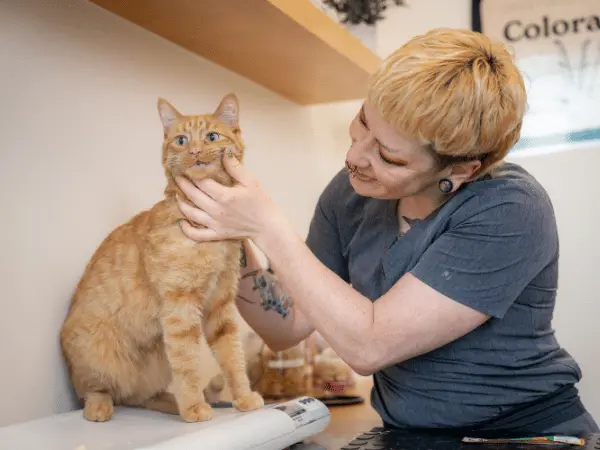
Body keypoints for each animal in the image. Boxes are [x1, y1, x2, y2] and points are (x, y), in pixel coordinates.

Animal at [59, 93, 264, 424]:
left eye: (211, 136)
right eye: (181, 140)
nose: (195, 151)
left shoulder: (220, 305)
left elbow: (232, 357)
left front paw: (243, 397)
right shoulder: (180, 308)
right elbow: (188, 364)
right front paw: (194, 408)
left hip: (156, 364)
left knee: (141, 397)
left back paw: (171, 402)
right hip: (97, 358)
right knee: (99, 390)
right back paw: (101, 407)